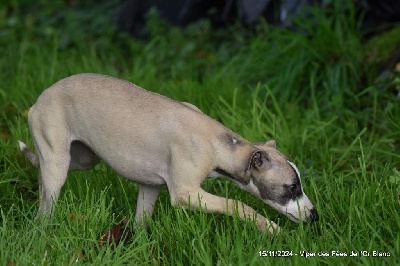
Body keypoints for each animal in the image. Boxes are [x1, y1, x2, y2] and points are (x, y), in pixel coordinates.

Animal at [18, 72, 318, 233]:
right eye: (292, 187)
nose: (315, 216)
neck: (217, 142)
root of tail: (39, 100)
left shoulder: (150, 186)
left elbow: (141, 221)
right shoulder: (186, 194)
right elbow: (238, 204)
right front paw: (271, 230)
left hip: (82, 159)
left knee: (42, 170)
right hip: (58, 164)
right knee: (45, 207)